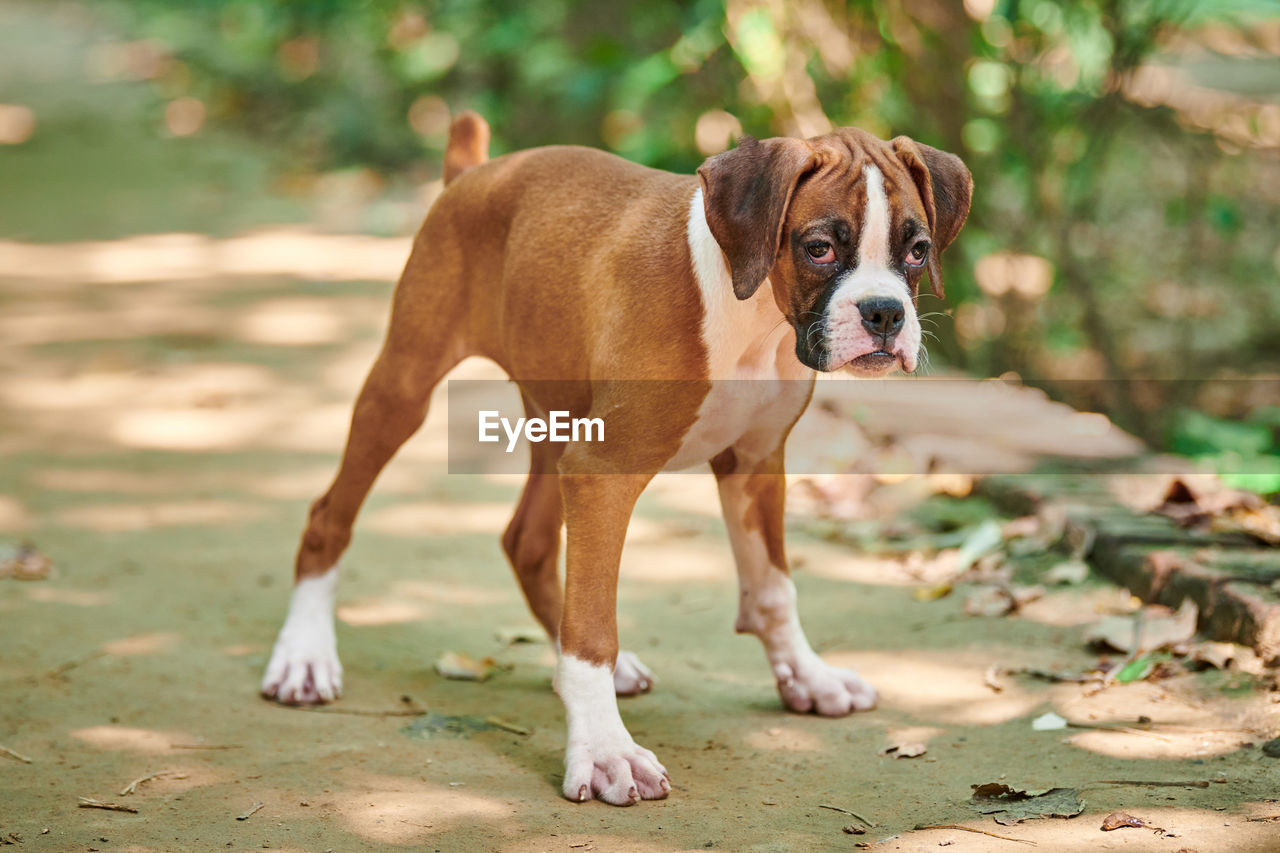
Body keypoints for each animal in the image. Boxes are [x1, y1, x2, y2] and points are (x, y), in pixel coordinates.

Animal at [259, 112, 967, 804]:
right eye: (818, 248)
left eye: (917, 251)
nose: (885, 313)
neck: (756, 322)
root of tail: (474, 172)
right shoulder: (603, 472)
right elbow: (594, 627)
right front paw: (604, 751)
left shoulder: (757, 462)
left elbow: (772, 588)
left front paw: (808, 677)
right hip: (405, 388)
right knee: (329, 514)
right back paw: (304, 656)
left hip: (557, 416)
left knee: (527, 542)